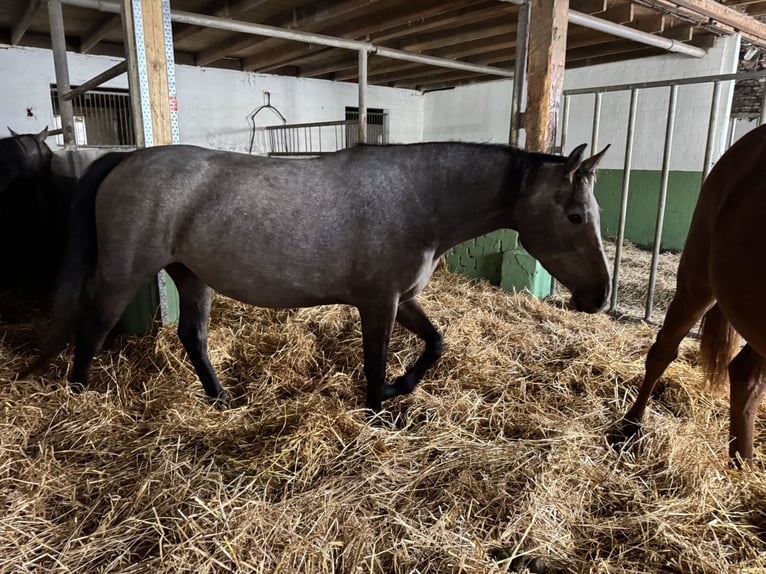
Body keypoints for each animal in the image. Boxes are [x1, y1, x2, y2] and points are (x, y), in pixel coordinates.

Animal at [28, 143, 612, 414]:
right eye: (575, 217)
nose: (600, 297)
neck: (418, 200)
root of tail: (127, 158)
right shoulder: (378, 302)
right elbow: (375, 363)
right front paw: (377, 412)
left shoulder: (402, 298)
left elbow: (436, 342)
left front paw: (402, 388)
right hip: (124, 274)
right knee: (93, 328)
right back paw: (77, 396)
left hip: (191, 276)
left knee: (192, 338)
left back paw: (222, 402)